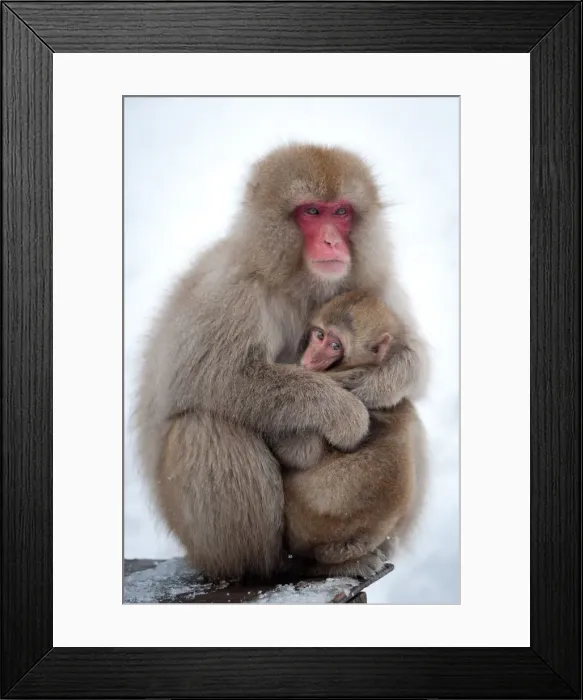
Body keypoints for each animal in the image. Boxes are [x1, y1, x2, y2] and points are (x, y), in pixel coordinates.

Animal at [270, 290, 427, 579]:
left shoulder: (341, 386)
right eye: (319, 335)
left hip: (301, 532)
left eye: (335, 346)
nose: (310, 358)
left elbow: (301, 453)